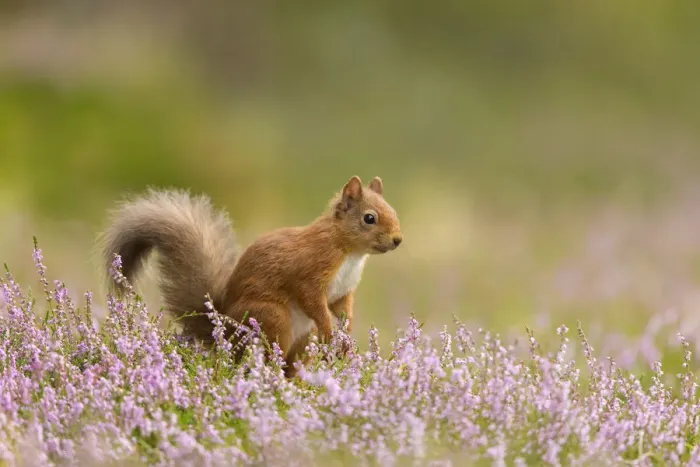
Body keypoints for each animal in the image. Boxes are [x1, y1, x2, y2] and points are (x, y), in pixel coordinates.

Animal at [98, 175, 402, 377]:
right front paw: (331, 333)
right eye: (369, 218)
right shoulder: (309, 272)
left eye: (393, 211)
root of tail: (224, 332)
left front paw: (346, 339)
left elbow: (343, 310)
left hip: (303, 338)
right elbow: (313, 302)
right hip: (272, 318)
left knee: (290, 365)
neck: (349, 252)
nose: (398, 240)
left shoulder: (344, 291)